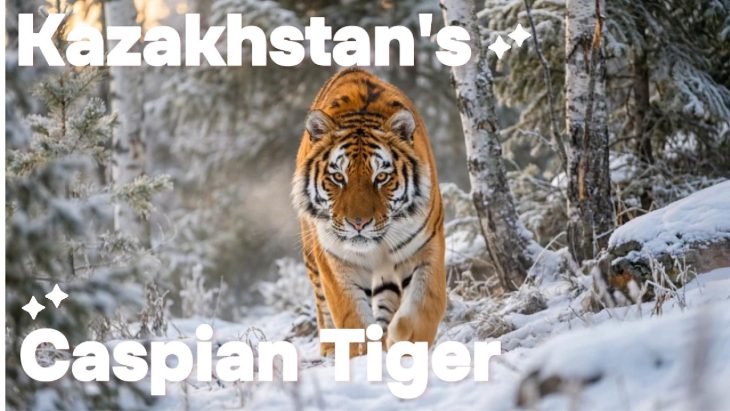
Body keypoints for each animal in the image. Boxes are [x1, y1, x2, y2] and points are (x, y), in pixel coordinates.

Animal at [291, 68, 446, 357]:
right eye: (338, 177)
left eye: (381, 177)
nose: (358, 224)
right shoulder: (334, 259)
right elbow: (351, 318)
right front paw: (362, 354)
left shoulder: (426, 245)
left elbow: (425, 305)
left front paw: (403, 340)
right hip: (311, 252)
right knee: (321, 303)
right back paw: (330, 347)